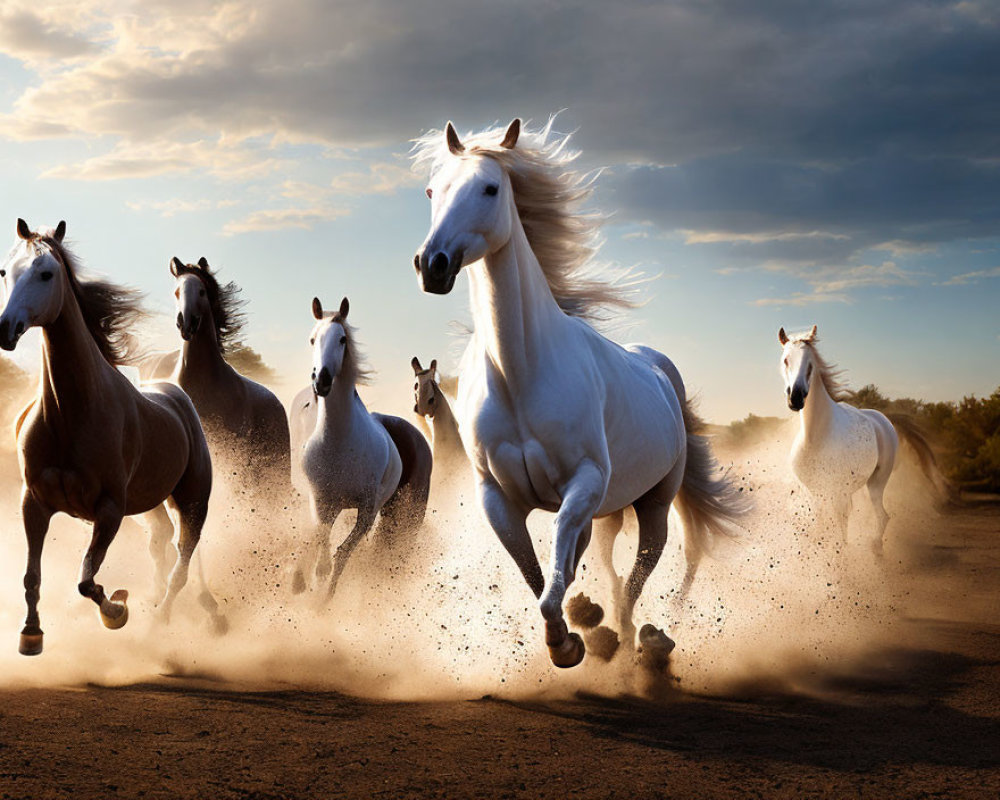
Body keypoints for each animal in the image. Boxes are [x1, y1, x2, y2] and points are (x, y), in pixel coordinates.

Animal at [0, 219, 218, 656]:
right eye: (4, 272)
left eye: (46, 273)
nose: (5, 329)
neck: (71, 413)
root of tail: (177, 397)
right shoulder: (34, 504)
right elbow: (32, 576)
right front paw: (31, 634)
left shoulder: (110, 510)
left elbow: (87, 580)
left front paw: (117, 610)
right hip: (155, 506)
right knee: (166, 548)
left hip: (192, 504)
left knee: (183, 566)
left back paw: (162, 623)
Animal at [410, 119, 748, 668]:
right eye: (431, 191)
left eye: (490, 188)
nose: (432, 265)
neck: (520, 372)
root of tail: (660, 369)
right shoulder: (498, 498)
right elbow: (539, 578)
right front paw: (570, 636)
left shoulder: (583, 484)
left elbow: (553, 584)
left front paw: (569, 643)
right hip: (609, 511)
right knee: (603, 568)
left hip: (654, 504)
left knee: (637, 577)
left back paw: (641, 639)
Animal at [776, 322, 948, 552]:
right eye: (786, 360)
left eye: (810, 364)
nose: (795, 398)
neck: (816, 438)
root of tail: (882, 418)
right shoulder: (814, 493)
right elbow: (821, 528)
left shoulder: (837, 493)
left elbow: (840, 532)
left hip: (876, 483)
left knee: (882, 517)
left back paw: (876, 548)